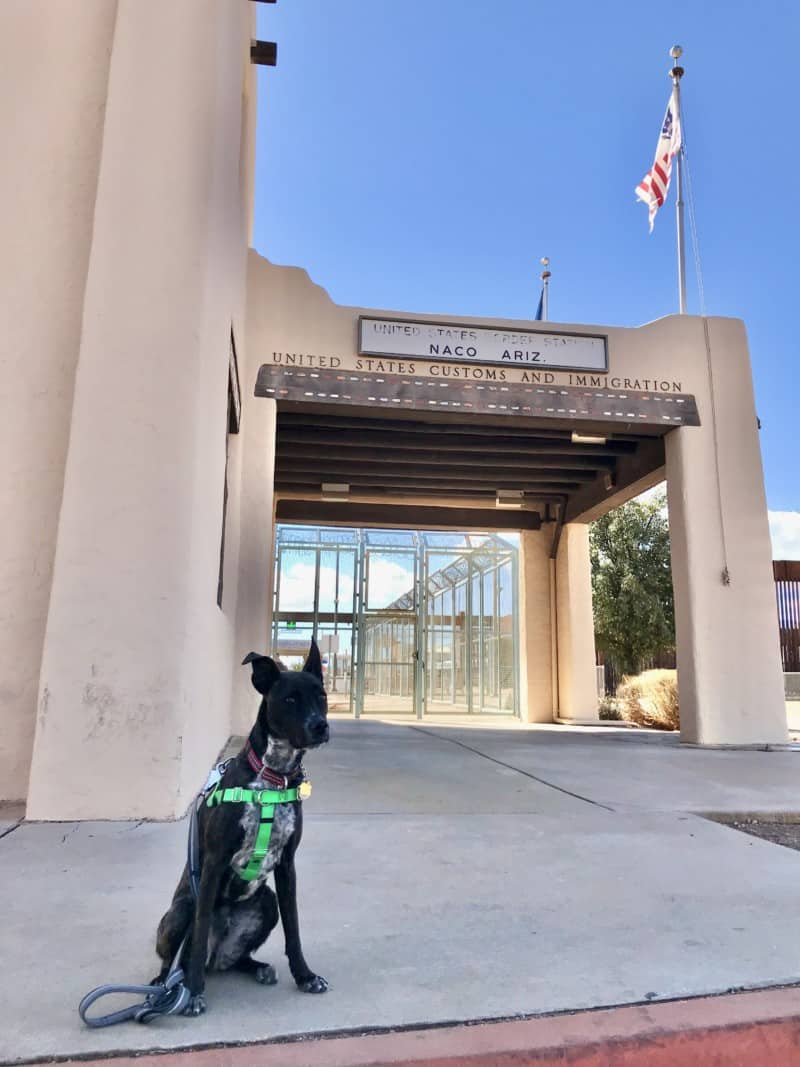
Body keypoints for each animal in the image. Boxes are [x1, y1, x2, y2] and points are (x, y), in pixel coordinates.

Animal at [154, 640, 330, 1015]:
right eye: (289, 699)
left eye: (321, 696)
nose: (320, 725)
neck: (272, 777)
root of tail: (217, 955)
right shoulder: (213, 863)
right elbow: (198, 933)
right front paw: (193, 992)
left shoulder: (287, 865)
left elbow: (294, 928)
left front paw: (305, 976)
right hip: (181, 909)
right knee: (178, 955)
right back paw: (164, 986)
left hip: (266, 902)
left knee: (237, 959)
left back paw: (256, 967)